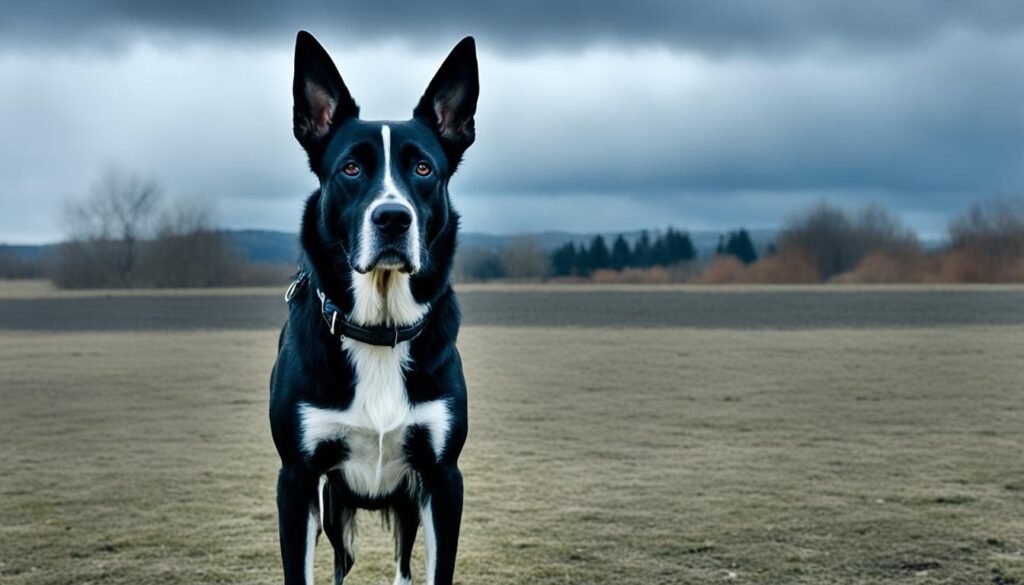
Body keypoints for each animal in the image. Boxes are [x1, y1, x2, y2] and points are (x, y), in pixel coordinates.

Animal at [272, 30, 479, 585]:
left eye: (424, 168)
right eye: (351, 168)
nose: (392, 218)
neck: (380, 329)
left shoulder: (442, 478)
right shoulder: (298, 480)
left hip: (405, 504)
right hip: (334, 508)